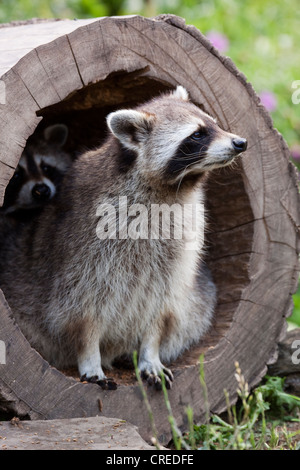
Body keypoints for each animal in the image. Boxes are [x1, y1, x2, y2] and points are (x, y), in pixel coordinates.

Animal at [0, 87, 247, 390]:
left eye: (214, 124)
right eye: (197, 134)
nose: (240, 142)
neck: (170, 188)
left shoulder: (178, 254)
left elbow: (161, 309)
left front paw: (151, 353)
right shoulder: (82, 247)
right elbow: (81, 310)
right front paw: (89, 355)